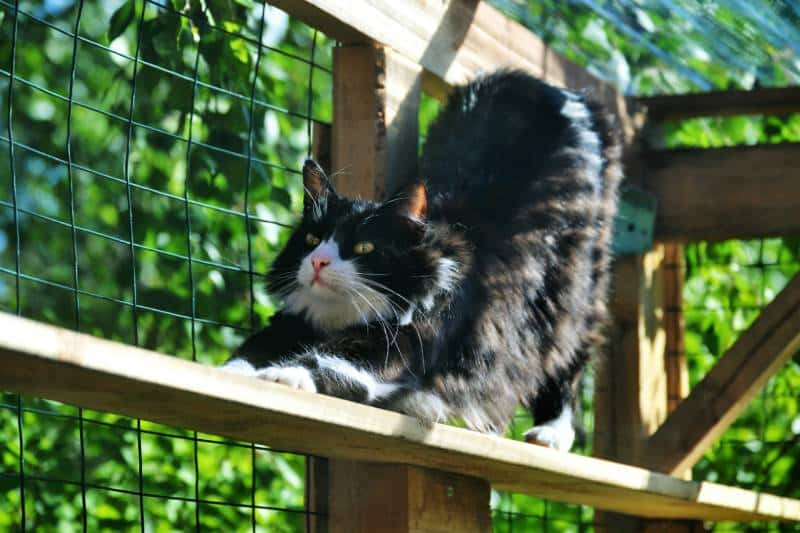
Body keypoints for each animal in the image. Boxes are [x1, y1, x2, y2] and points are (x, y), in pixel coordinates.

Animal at [222, 67, 620, 448]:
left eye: (365, 248)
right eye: (312, 238)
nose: (319, 261)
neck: (342, 318)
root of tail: (561, 90)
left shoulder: (398, 344)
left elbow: (329, 360)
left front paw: (282, 374)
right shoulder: (292, 323)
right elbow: (251, 351)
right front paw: (232, 373)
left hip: (571, 292)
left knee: (568, 360)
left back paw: (551, 432)